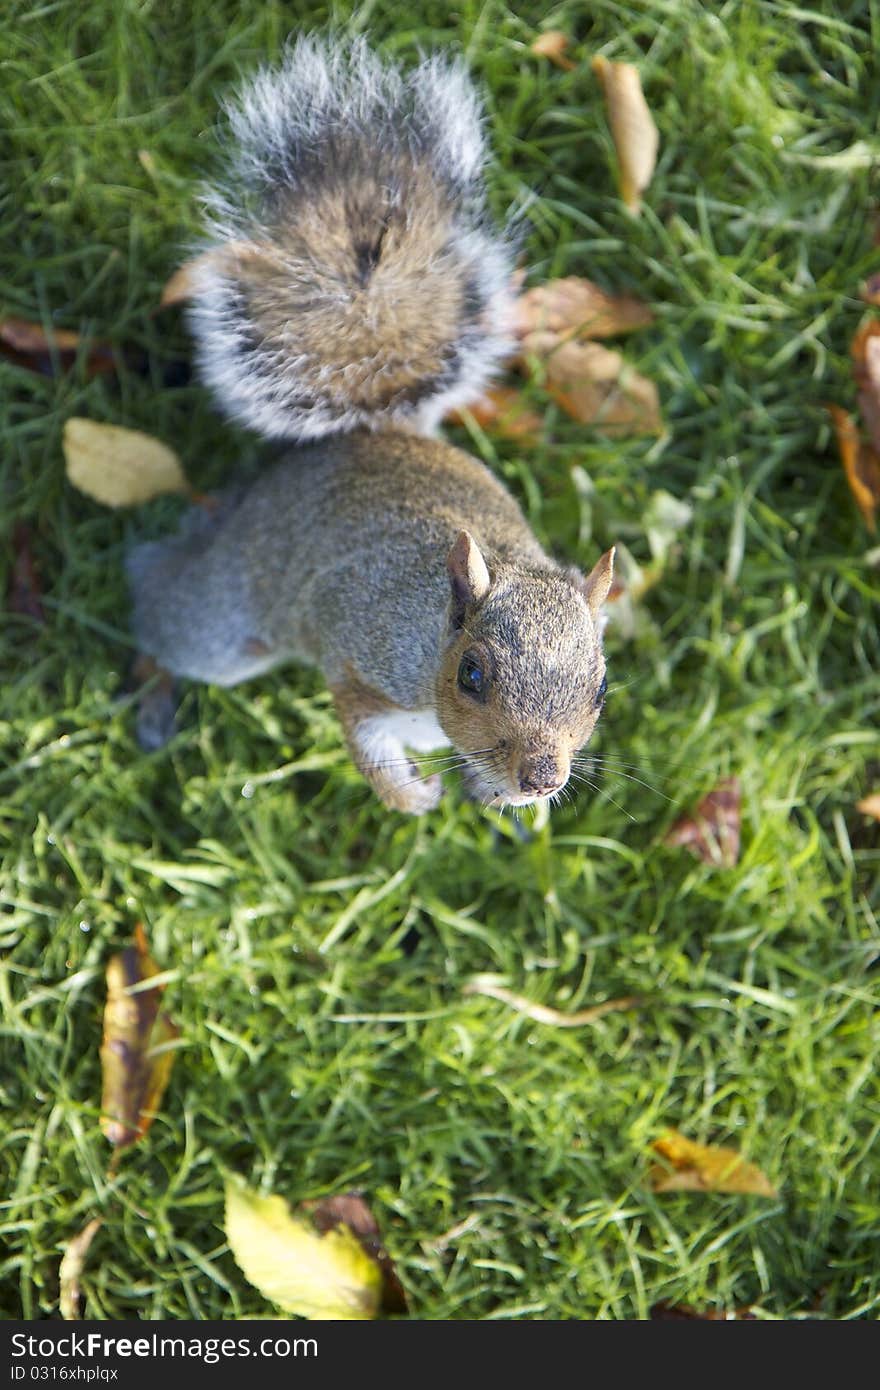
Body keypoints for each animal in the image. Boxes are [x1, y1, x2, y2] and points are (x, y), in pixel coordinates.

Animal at [127, 38, 614, 811]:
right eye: (473, 674)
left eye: (599, 690)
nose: (541, 776)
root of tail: (375, 432)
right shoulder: (359, 654)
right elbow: (365, 743)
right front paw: (412, 797)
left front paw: (501, 802)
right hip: (225, 616)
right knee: (163, 604)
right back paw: (152, 681)